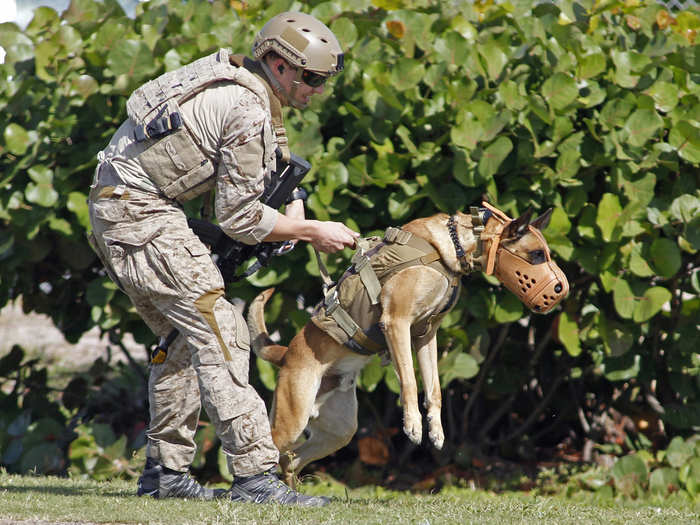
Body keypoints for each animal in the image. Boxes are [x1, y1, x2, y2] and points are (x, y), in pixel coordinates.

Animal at [246, 202, 568, 484]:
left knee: (291, 460)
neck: (450, 247)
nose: (561, 289)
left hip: (339, 431)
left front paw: (436, 430)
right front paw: (413, 425)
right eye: (537, 255)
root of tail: (286, 352)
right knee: (273, 450)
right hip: (292, 420)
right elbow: (410, 381)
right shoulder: (397, 324)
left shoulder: (426, 336)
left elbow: (434, 388)